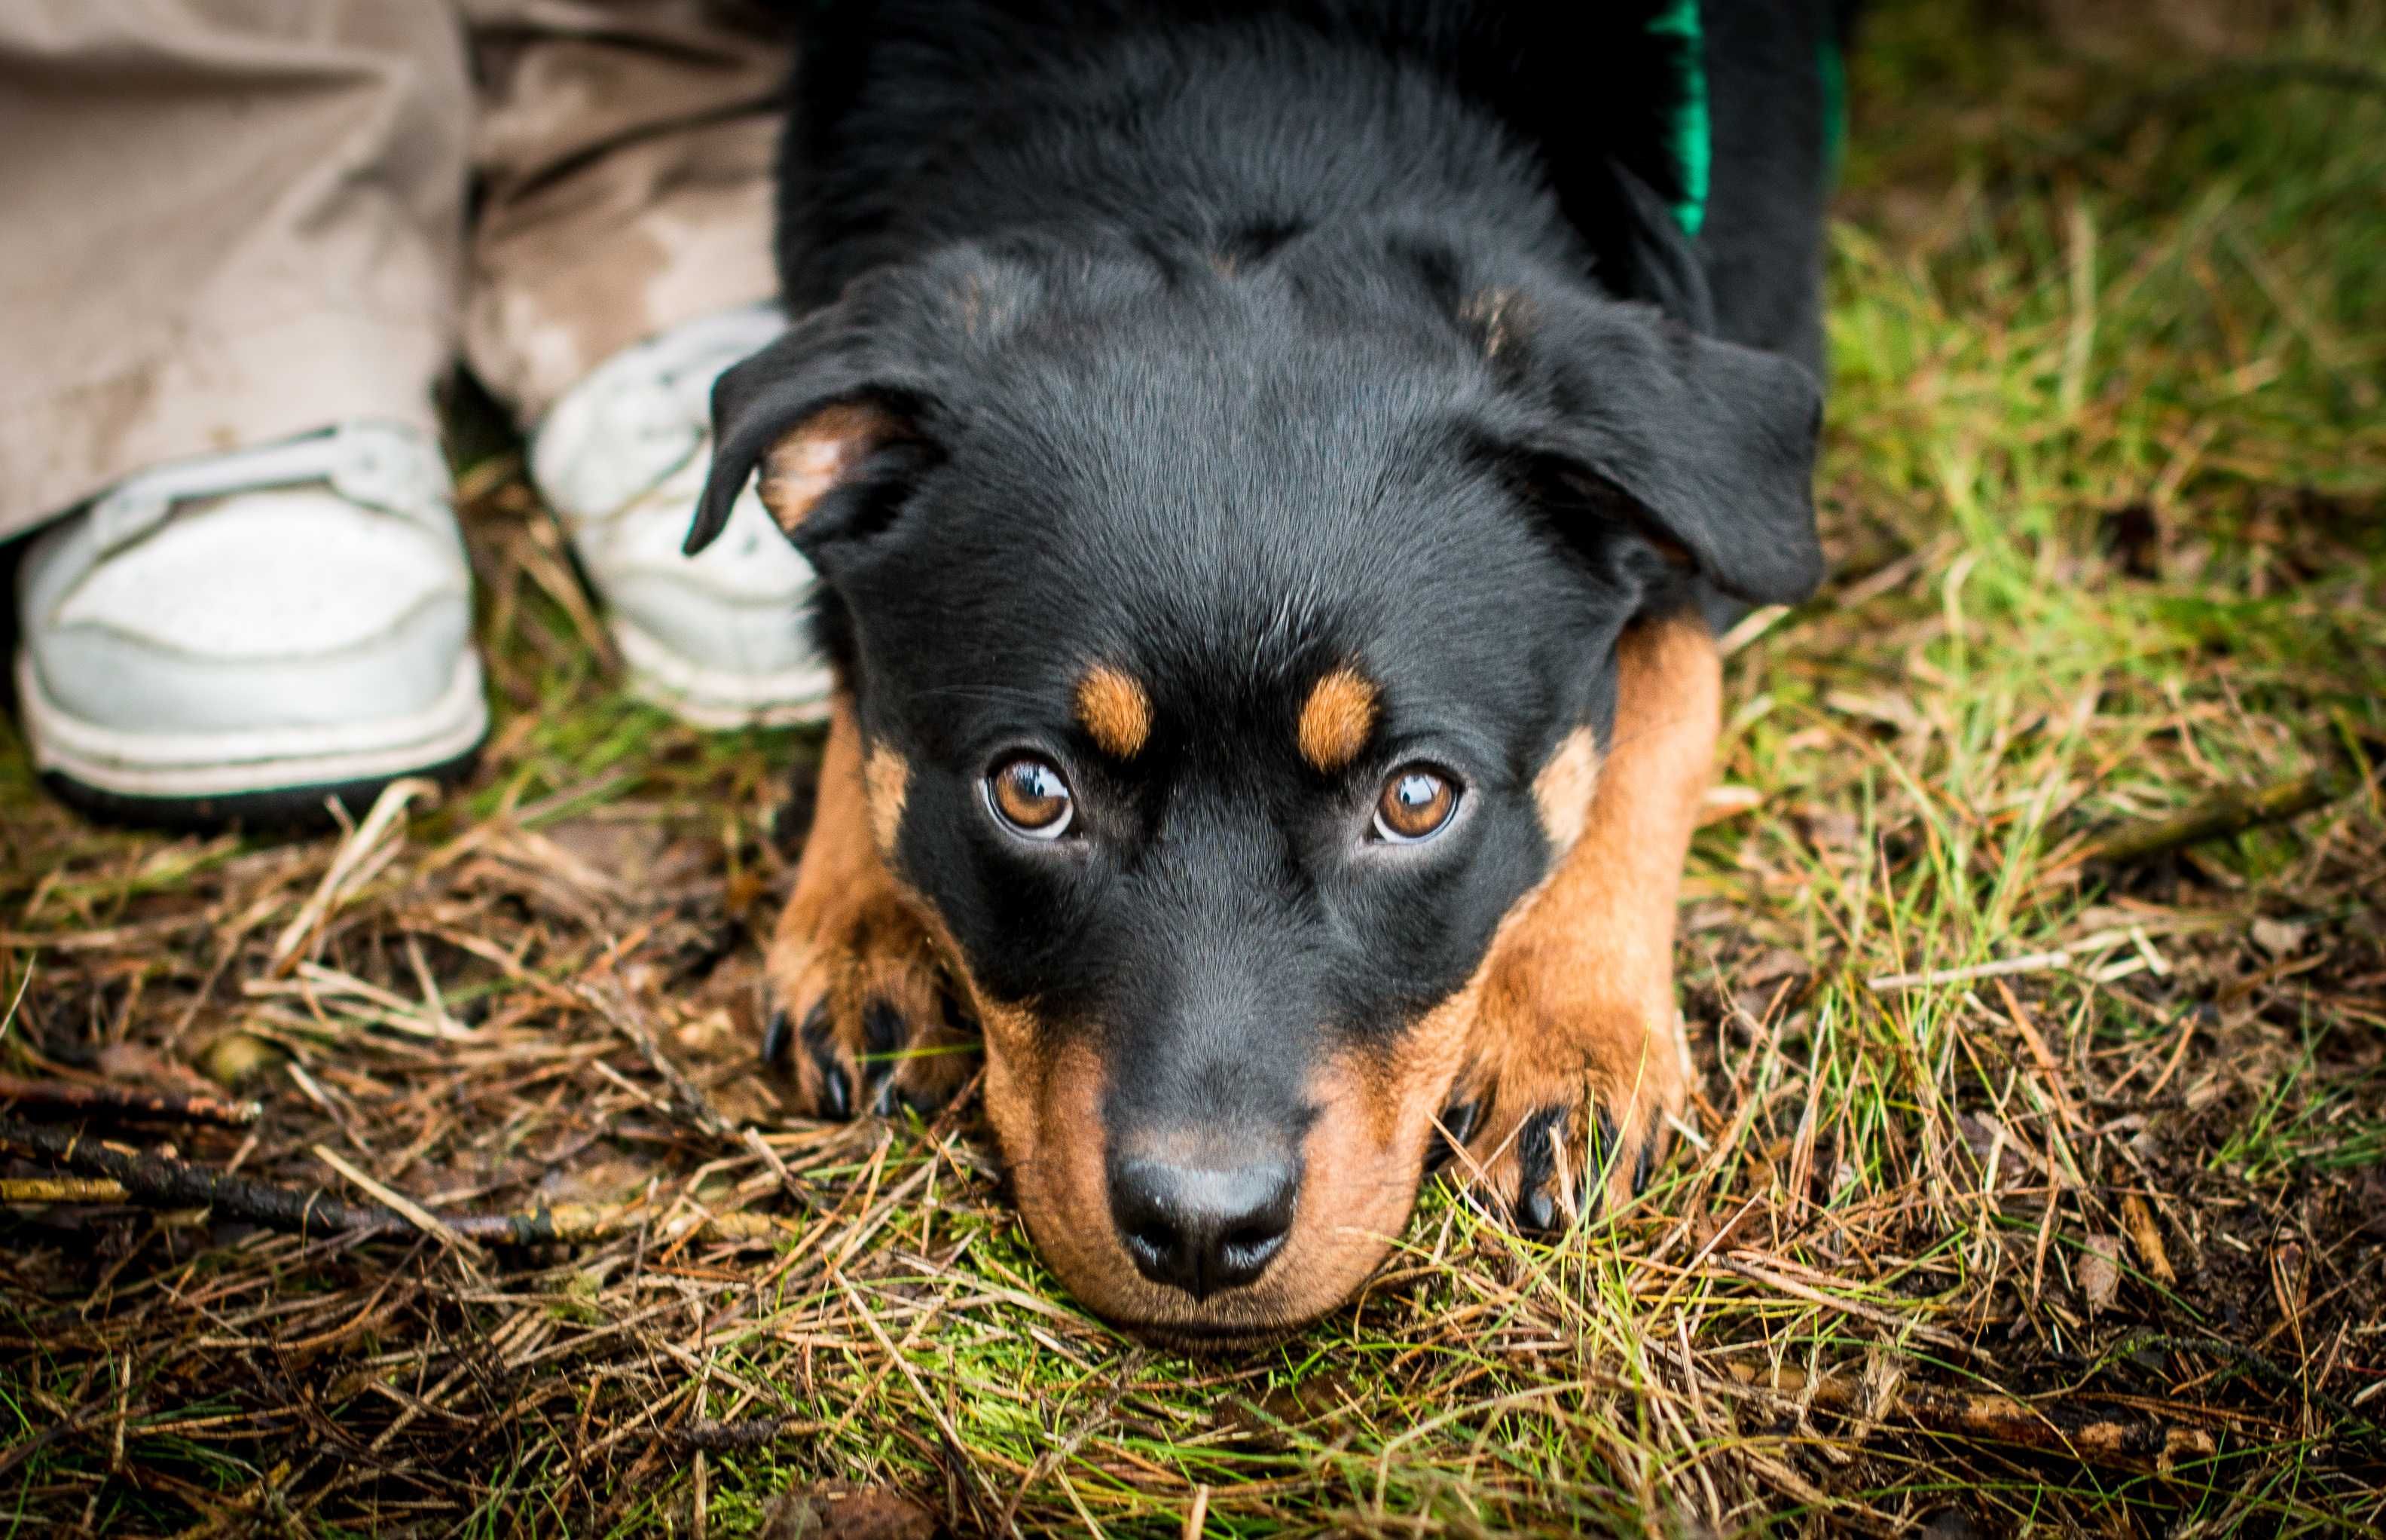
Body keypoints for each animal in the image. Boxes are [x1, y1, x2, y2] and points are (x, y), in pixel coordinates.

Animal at [682, 0, 1832, 1337]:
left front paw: (1568, 1027)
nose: (1199, 1229)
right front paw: (859, 915)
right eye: (1029, 791)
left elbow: (1662, 693)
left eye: (1416, 798)